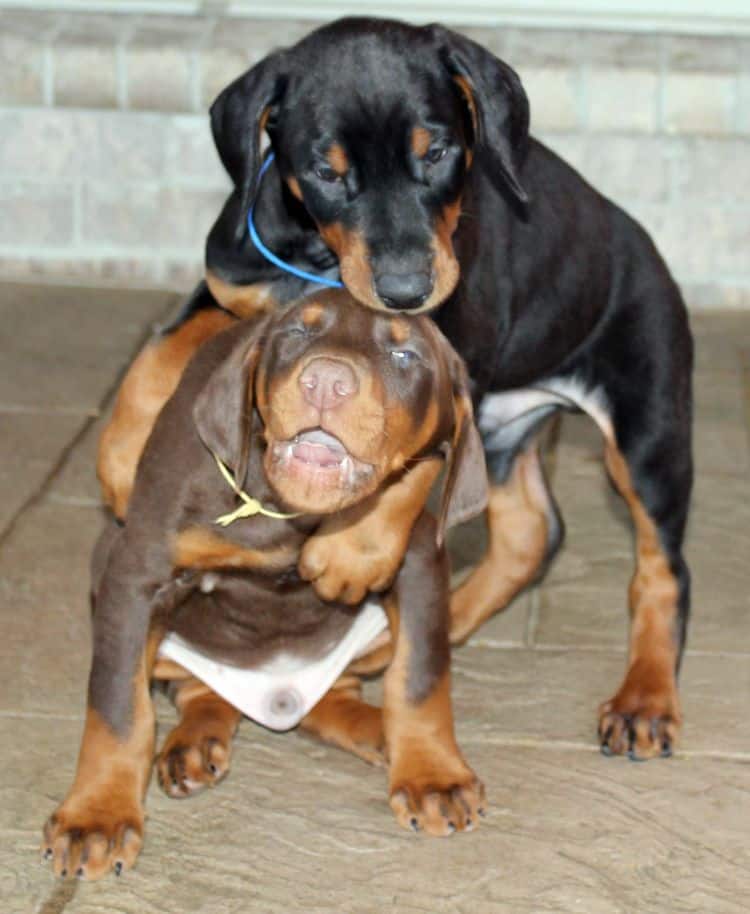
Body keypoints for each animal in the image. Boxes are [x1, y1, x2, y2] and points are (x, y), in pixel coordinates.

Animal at [47, 290, 494, 876]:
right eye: (298, 334)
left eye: (406, 356)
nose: (325, 381)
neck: (287, 511)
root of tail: (276, 698)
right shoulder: (137, 573)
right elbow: (118, 705)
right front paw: (95, 817)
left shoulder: (419, 563)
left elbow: (420, 679)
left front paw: (433, 776)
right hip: (110, 576)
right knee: (195, 689)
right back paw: (194, 743)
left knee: (337, 695)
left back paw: (378, 731)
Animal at [97, 21, 696, 760]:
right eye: (326, 172)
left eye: (436, 152)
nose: (408, 290)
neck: (320, 259)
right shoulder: (234, 281)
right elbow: (162, 346)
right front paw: (122, 457)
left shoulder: (450, 369)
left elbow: (412, 463)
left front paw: (353, 553)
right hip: (502, 432)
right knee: (530, 531)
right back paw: (426, 629)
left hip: (646, 424)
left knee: (662, 567)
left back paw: (645, 699)